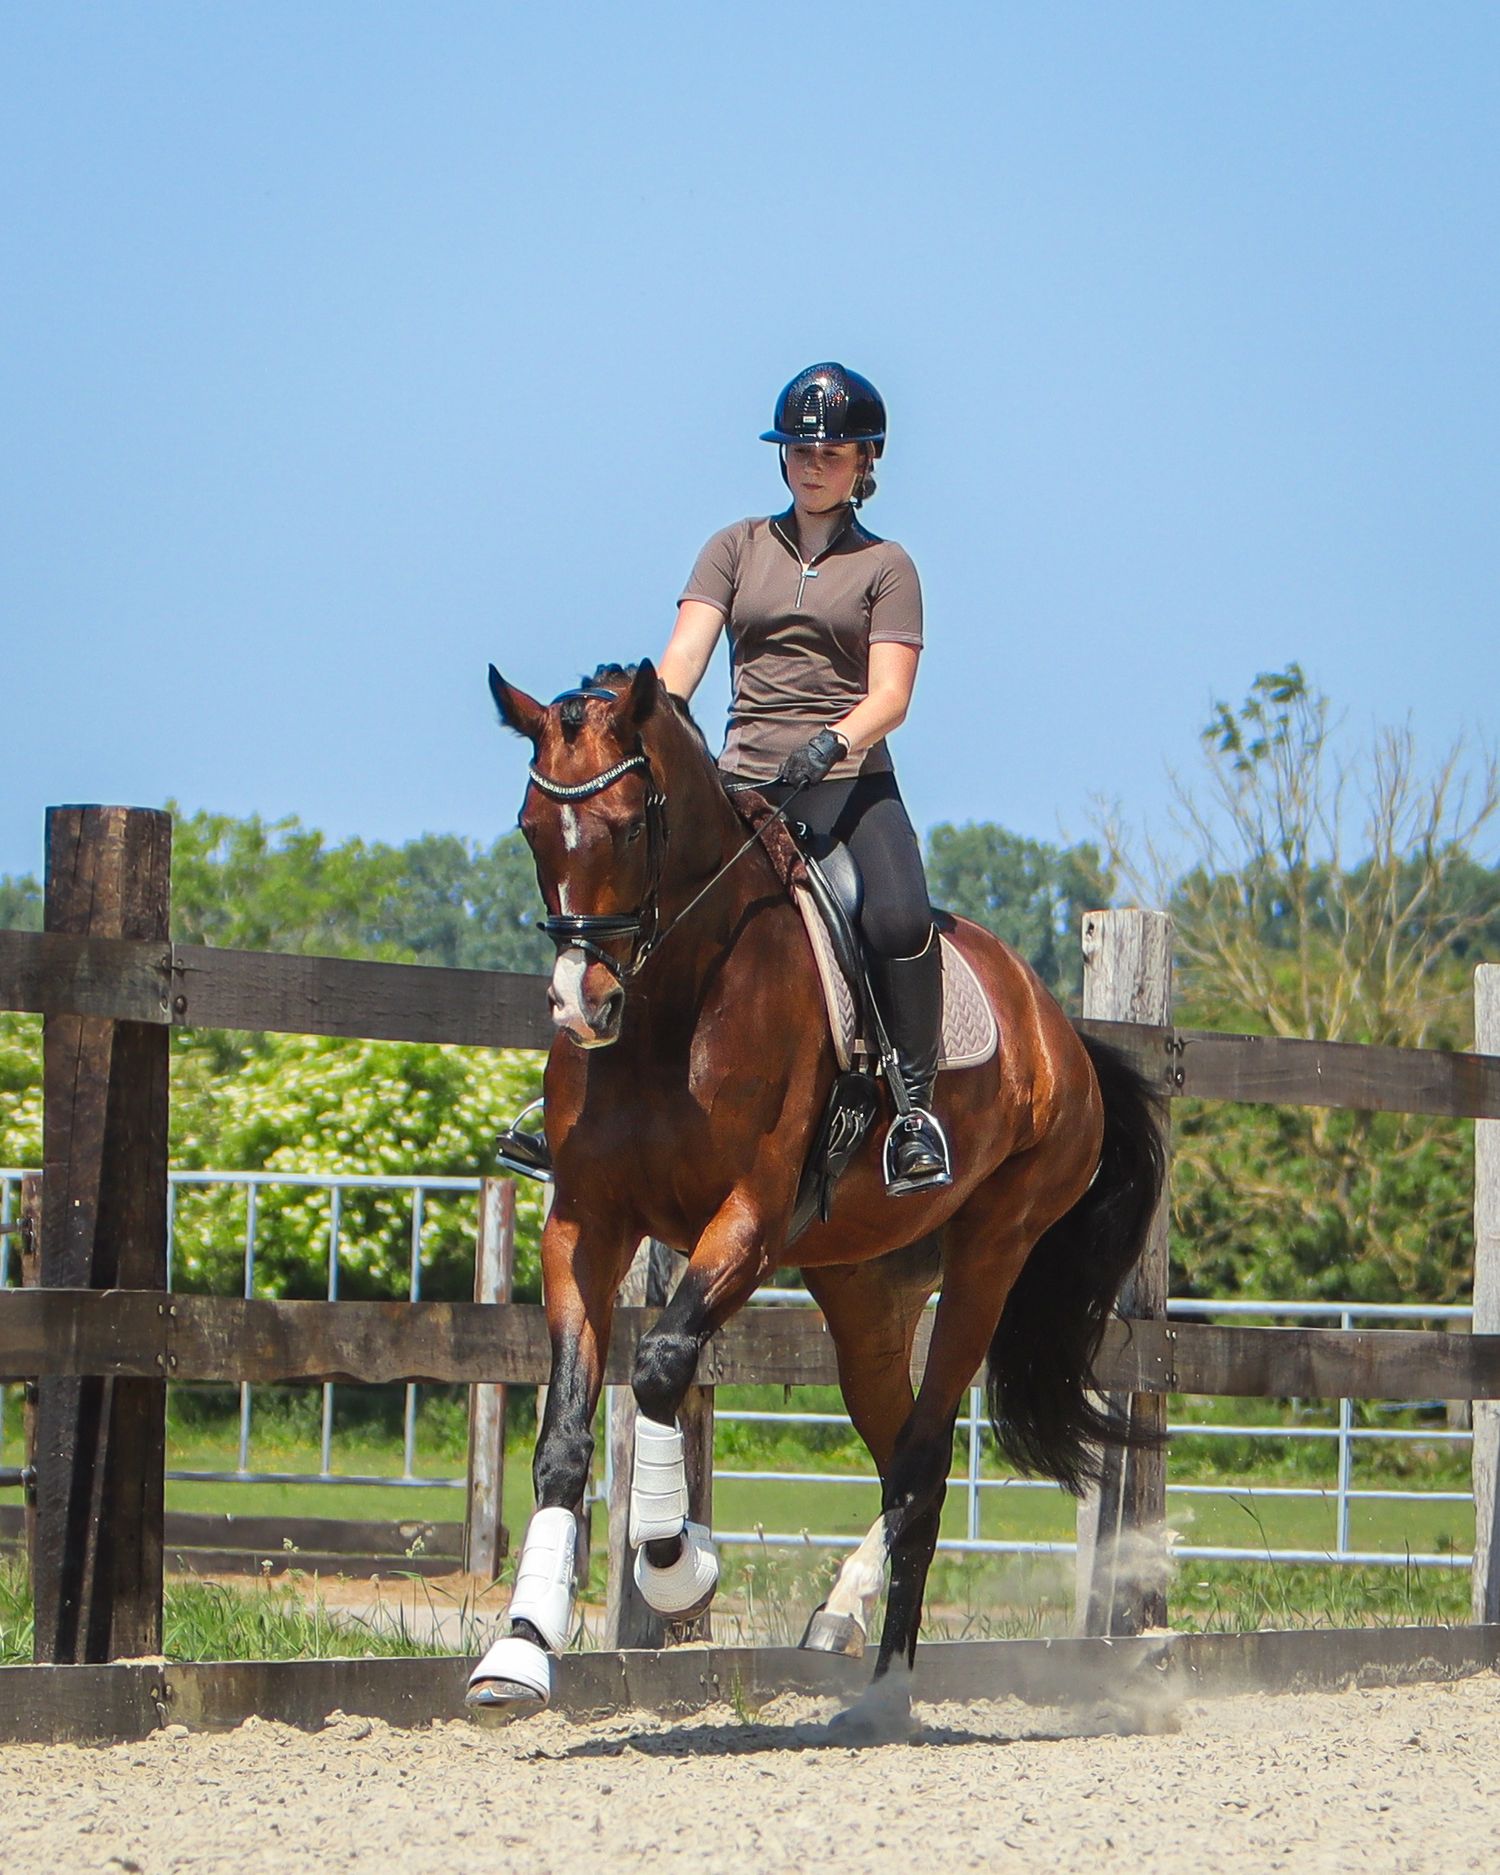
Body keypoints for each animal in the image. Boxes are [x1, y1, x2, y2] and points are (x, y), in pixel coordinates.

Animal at [468, 658, 1165, 1726]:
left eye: (628, 825)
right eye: (531, 827)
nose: (582, 1005)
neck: (675, 1007)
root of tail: (1060, 1030)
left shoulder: (750, 1220)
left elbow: (661, 1365)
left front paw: (676, 1564)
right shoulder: (585, 1223)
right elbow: (564, 1436)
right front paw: (519, 1648)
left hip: (991, 1255)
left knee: (923, 1460)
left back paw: (884, 1686)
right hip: (865, 1290)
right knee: (899, 1452)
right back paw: (855, 1637)